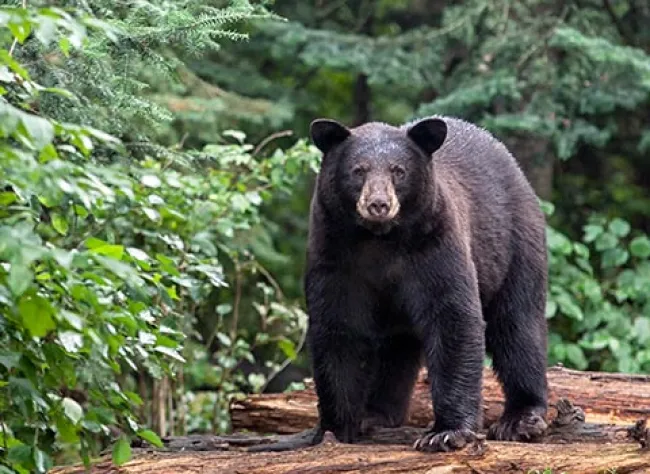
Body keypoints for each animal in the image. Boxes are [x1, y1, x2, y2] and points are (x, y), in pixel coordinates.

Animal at [304, 115, 549, 452]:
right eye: (358, 170)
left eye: (398, 170)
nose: (379, 204)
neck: (379, 239)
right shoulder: (334, 253)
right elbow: (337, 328)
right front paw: (336, 428)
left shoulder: (434, 244)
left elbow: (453, 317)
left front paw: (446, 432)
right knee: (396, 347)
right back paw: (376, 414)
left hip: (514, 244)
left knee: (518, 325)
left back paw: (521, 417)